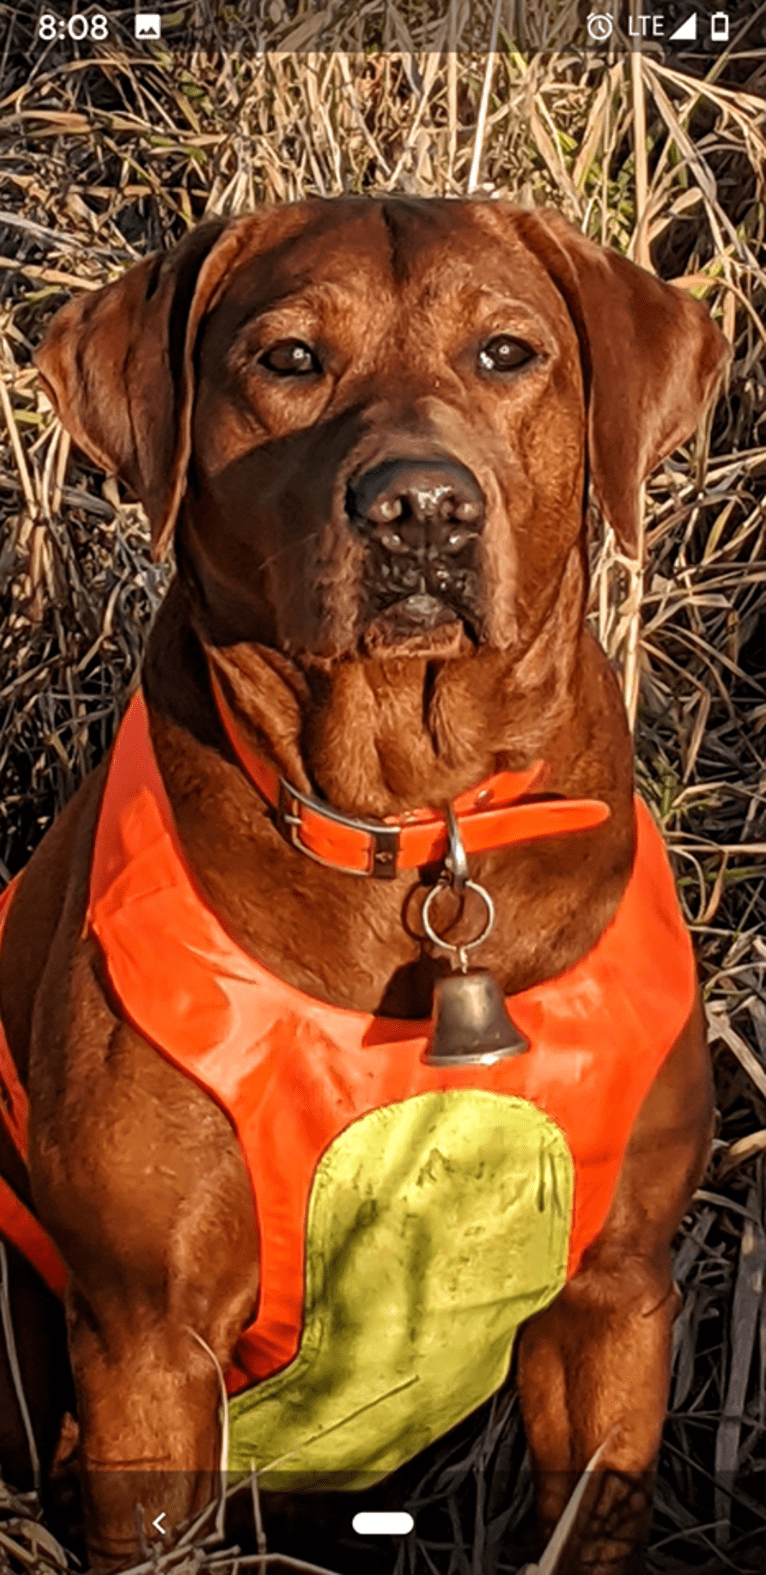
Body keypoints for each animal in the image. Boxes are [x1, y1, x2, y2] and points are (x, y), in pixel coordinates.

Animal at [0, 200, 725, 1575]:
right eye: (289, 360)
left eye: (506, 353)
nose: (420, 509)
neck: (407, 818)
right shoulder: (145, 1339)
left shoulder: (614, 1296)